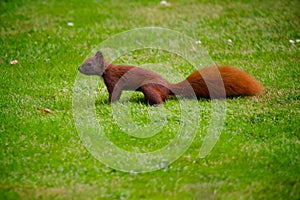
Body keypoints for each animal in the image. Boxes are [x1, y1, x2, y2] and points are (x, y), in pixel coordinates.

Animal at [78, 50, 264, 104]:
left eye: (89, 64)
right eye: (85, 61)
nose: (78, 68)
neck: (108, 71)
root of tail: (170, 86)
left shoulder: (114, 81)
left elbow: (114, 94)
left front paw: (108, 103)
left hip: (148, 87)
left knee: (160, 100)